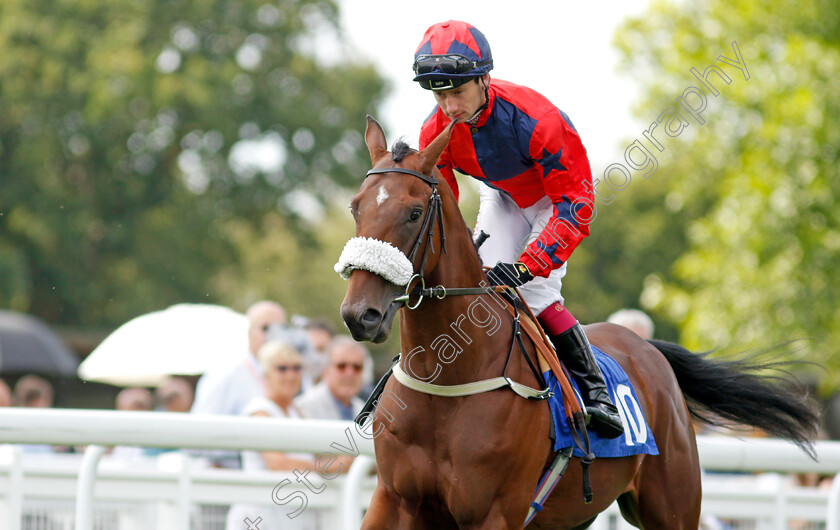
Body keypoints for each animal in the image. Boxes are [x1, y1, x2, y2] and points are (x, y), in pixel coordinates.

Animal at [338, 116, 816, 528]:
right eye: (355, 208)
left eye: (414, 213)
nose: (360, 314)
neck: (447, 381)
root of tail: (648, 348)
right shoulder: (393, 501)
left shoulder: (494, 513)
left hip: (673, 506)